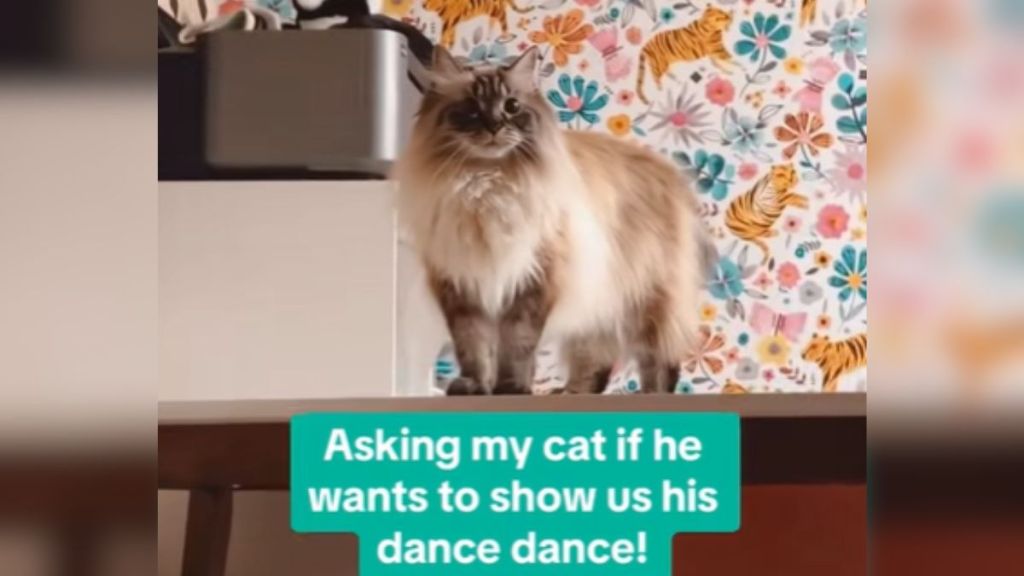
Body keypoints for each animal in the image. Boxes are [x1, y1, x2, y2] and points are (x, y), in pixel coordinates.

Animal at [393, 47, 712, 393]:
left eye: (512, 106)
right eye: (471, 108)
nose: (494, 126)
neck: (487, 184)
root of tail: (670, 170)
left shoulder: (530, 284)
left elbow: (516, 348)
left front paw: (511, 388)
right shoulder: (463, 289)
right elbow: (474, 348)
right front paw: (476, 386)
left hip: (648, 302)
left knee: (660, 365)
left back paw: (648, 395)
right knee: (596, 367)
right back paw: (569, 392)